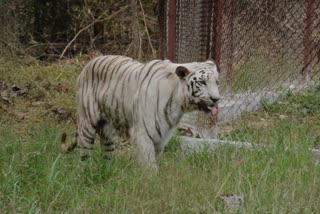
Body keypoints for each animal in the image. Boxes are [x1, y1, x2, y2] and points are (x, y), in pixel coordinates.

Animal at [60, 55, 220, 171]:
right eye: (202, 82)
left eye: (217, 82)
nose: (216, 99)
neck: (179, 103)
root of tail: (89, 63)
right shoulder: (142, 133)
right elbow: (150, 164)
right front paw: (151, 185)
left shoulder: (162, 137)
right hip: (87, 124)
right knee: (85, 154)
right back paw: (86, 174)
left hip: (107, 131)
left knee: (107, 153)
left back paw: (107, 173)